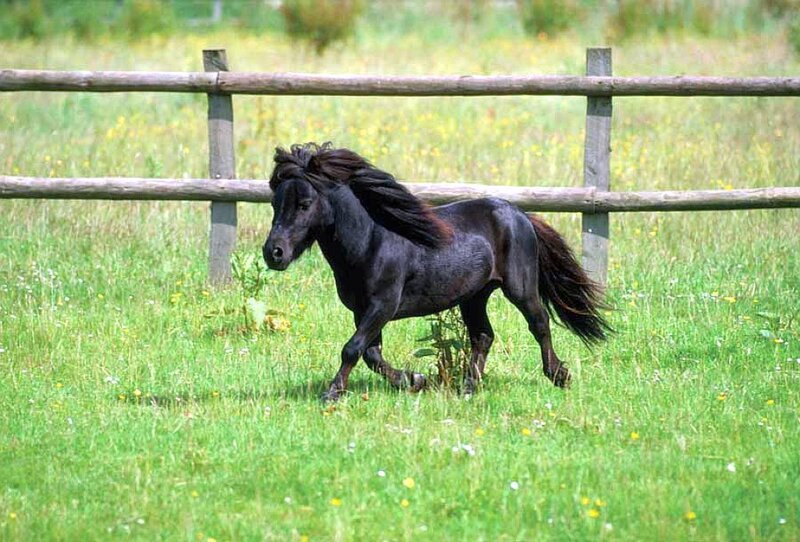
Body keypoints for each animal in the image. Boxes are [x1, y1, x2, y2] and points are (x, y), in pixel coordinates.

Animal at [262, 142, 611, 401]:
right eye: (275, 204)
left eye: (305, 203)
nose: (273, 253)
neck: (370, 241)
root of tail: (520, 214)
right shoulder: (362, 310)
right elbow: (371, 354)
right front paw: (415, 380)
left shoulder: (382, 306)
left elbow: (352, 349)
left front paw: (331, 394)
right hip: (474, 295)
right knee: (483, 336)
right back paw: (468, 388)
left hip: (520, 288)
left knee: (539, 324)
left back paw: (559, 375)